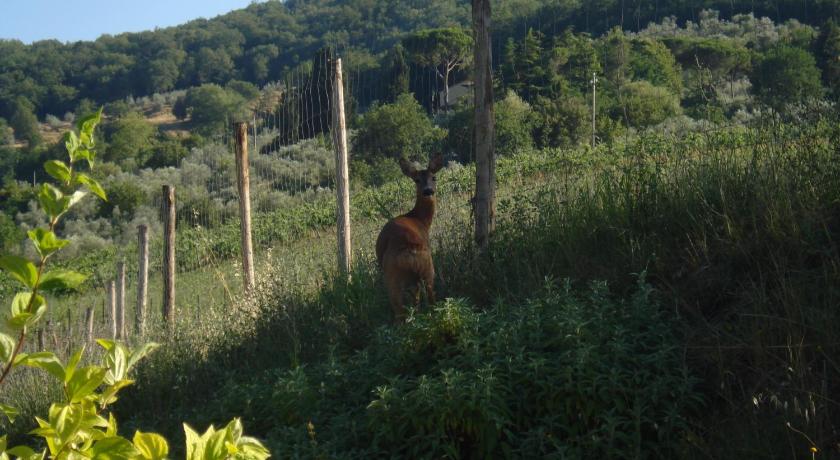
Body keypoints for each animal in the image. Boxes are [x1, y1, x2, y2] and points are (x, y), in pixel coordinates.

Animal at [375, 155, 444, 322]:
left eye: (434, 177)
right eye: (417, 180)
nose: (428, 191)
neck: (419, 219)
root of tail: (410, 251)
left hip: (399, 277)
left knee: (405, 307)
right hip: (426, 269)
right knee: (427, 300)